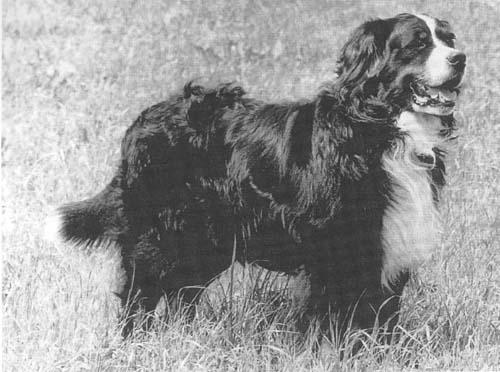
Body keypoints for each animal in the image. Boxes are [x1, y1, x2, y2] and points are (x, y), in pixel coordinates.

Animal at [46, 13, 464, 336]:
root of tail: (143, 119)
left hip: (205, 242)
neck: (384, 132)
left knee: (182, 295)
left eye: (448, 38)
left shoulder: (391, 245)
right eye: (417, 44)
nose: (461, 58)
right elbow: (326, 321)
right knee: (139, 297)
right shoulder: (333, 248)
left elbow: (380, 323)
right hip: (157, 237)